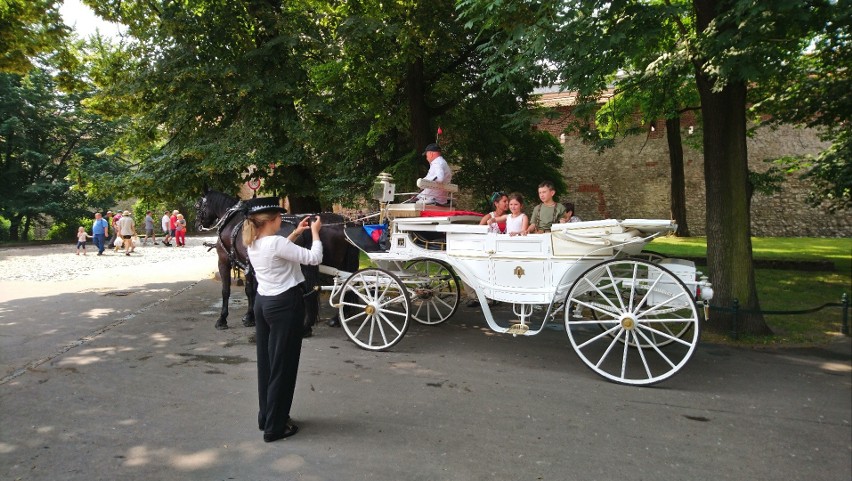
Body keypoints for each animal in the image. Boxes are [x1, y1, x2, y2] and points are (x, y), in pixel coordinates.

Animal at [196, 189, 360, 332]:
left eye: (197, 206)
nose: (197, 225)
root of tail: (345, 222)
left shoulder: (224, 261)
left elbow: (227, 291)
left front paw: (223, 319)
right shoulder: (250, 264)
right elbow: (251, 290)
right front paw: (250, 316)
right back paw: (337, 318)